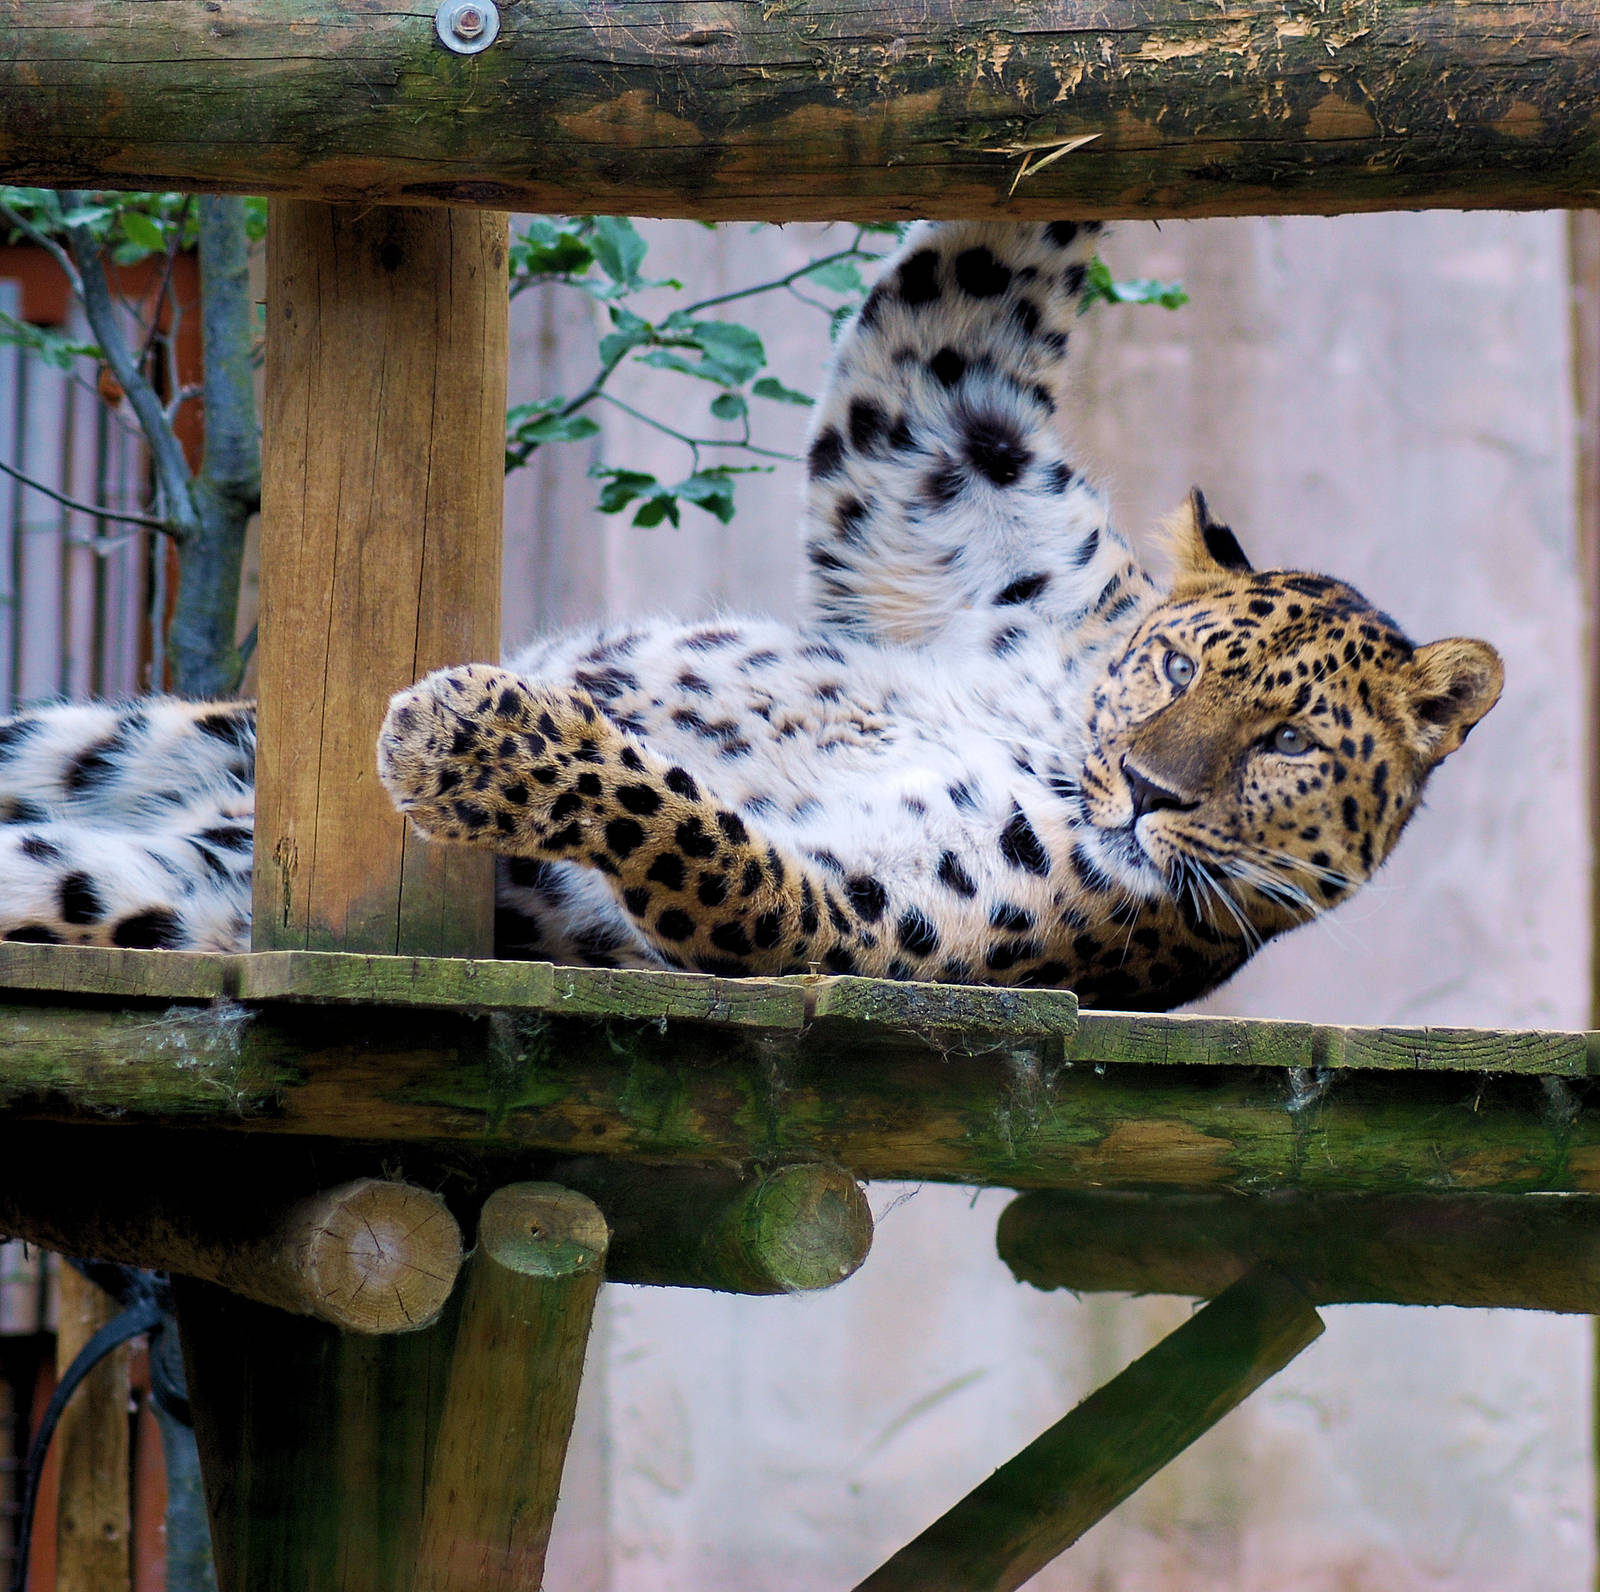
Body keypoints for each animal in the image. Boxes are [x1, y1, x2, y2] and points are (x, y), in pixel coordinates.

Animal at [0, 220, 1503, 1011]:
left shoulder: (852, 933)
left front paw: (480, 737)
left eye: (1289, 744)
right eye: (1179, 665)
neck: (1050, 706)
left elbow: (693, 830)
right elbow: (948, 308)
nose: (1144, 790)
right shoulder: (941, 464)